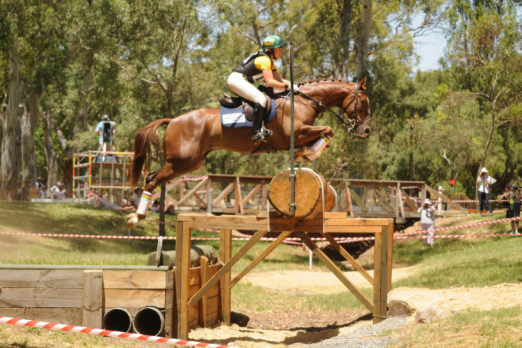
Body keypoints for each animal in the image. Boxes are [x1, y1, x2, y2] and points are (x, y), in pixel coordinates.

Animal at [126, 77, 370, 224]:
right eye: (364, 102)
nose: (365, 130)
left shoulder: (301, 134)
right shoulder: (296, 133)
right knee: (151, 180)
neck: (302, 102)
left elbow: (325, 134)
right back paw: (136, 217)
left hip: (186, 163)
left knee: (152, 176)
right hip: (183, 162)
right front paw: (308, 152)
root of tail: (173, 120)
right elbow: (328, 130)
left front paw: (306, 152)